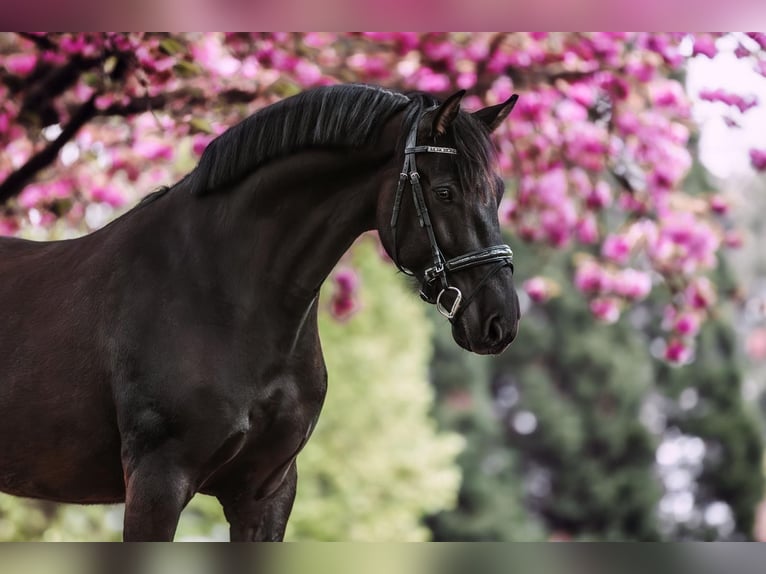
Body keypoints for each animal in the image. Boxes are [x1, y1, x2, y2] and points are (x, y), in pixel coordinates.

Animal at [0, 83, 520, 541]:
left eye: (498, 192)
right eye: (446, 191)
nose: (501, 320)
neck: (220, 292)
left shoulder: (265, 494)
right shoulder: (157, 482)